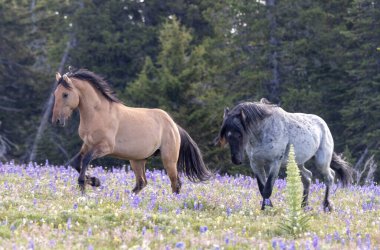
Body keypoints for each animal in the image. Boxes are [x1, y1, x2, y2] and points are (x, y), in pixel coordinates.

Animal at [52, 68, 212, 193]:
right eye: (55, 94)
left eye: (65, 94)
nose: (56, 121)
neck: (98, 113)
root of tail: (173, 125)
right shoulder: (87, 144)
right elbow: (76, 163)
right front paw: (93, 180)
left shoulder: (104, 147)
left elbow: (85, 160)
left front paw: (86, 183)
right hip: (137, 159)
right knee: (141, 183)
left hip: (169, 159)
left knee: (175, 183)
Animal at [218, 99, 352, 211]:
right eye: (227, 136)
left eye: (239, 134)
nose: (236, 160)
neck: (263, 133)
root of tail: (323, 125)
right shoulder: (256, 164)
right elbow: (262, 188)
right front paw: (267, 207)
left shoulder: (275, 163)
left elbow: (267, 189)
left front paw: (267, 209)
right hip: (298, 163)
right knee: (308, 177)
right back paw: (304, 206)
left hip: (321, 161)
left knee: (329, 177)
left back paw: (326, 205)